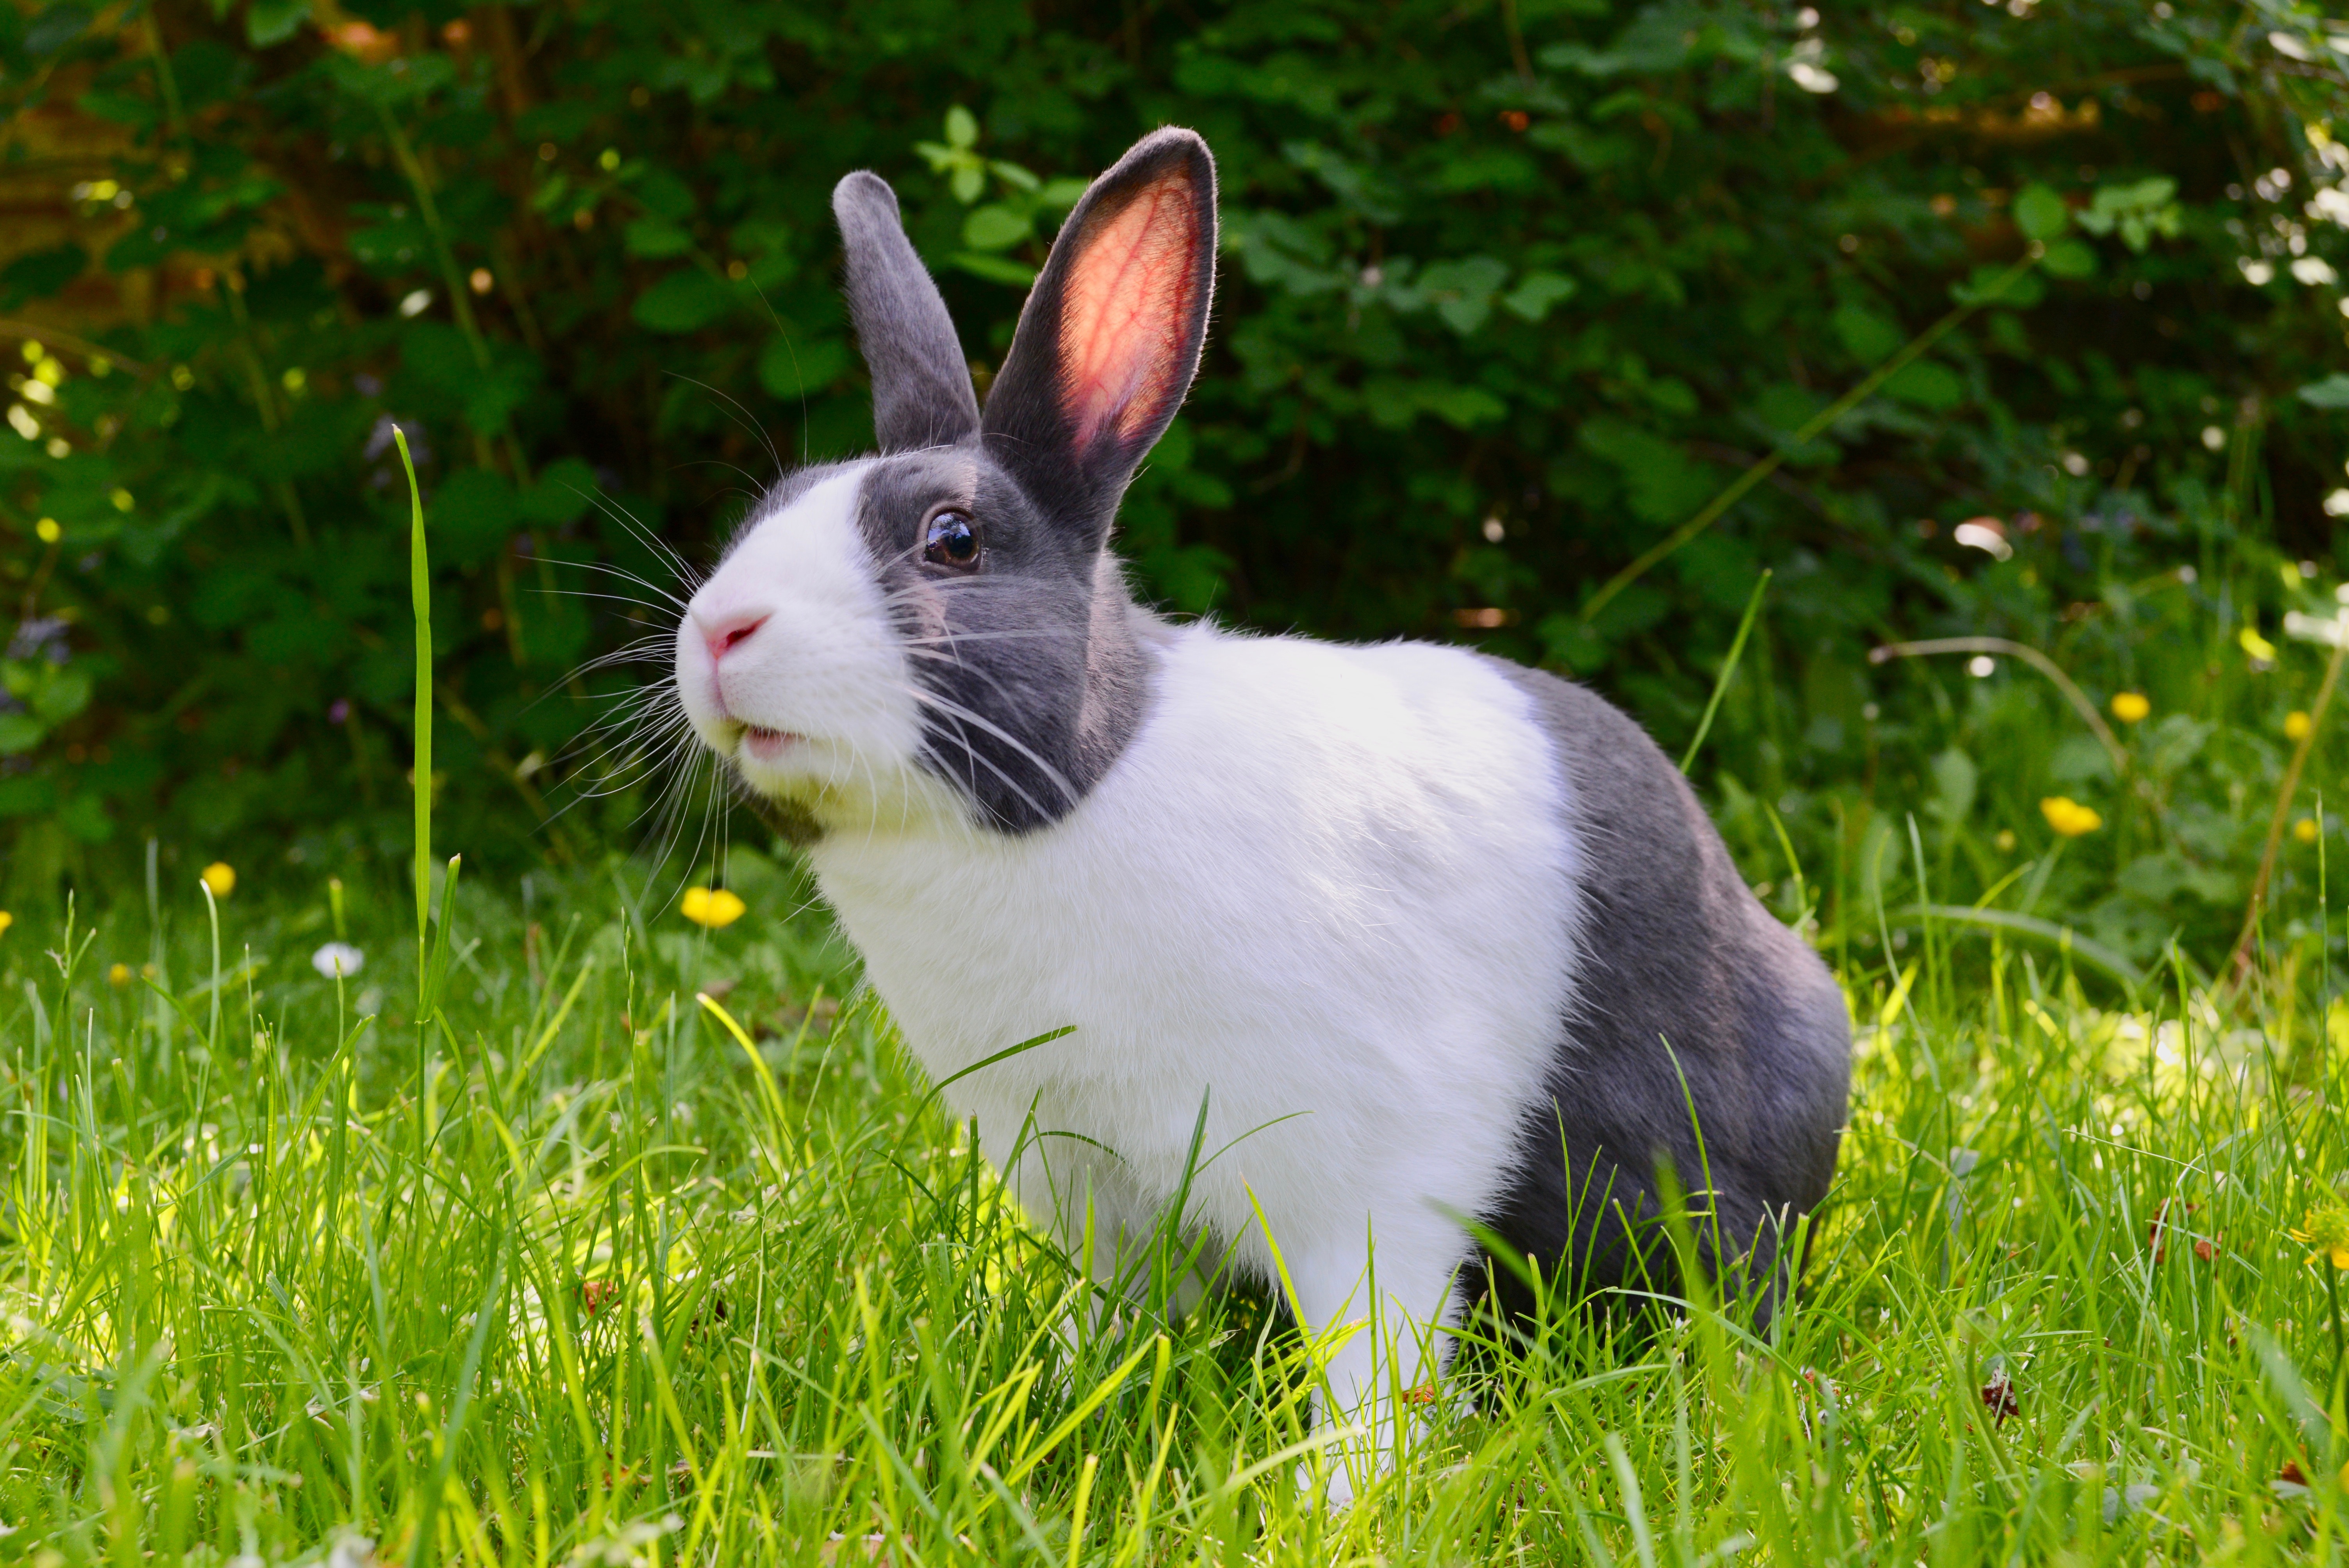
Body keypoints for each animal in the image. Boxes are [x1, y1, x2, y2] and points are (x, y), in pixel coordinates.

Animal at [672, 125, 1841, 1502]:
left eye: (951, 539)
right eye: (767, 511)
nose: (718, 631)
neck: (1075, 797)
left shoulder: (1364, 1175)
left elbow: (1375, 1346)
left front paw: (1345, 1499)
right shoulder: (1086, 1180)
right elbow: (1113, 1318)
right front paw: (1062, 1404)